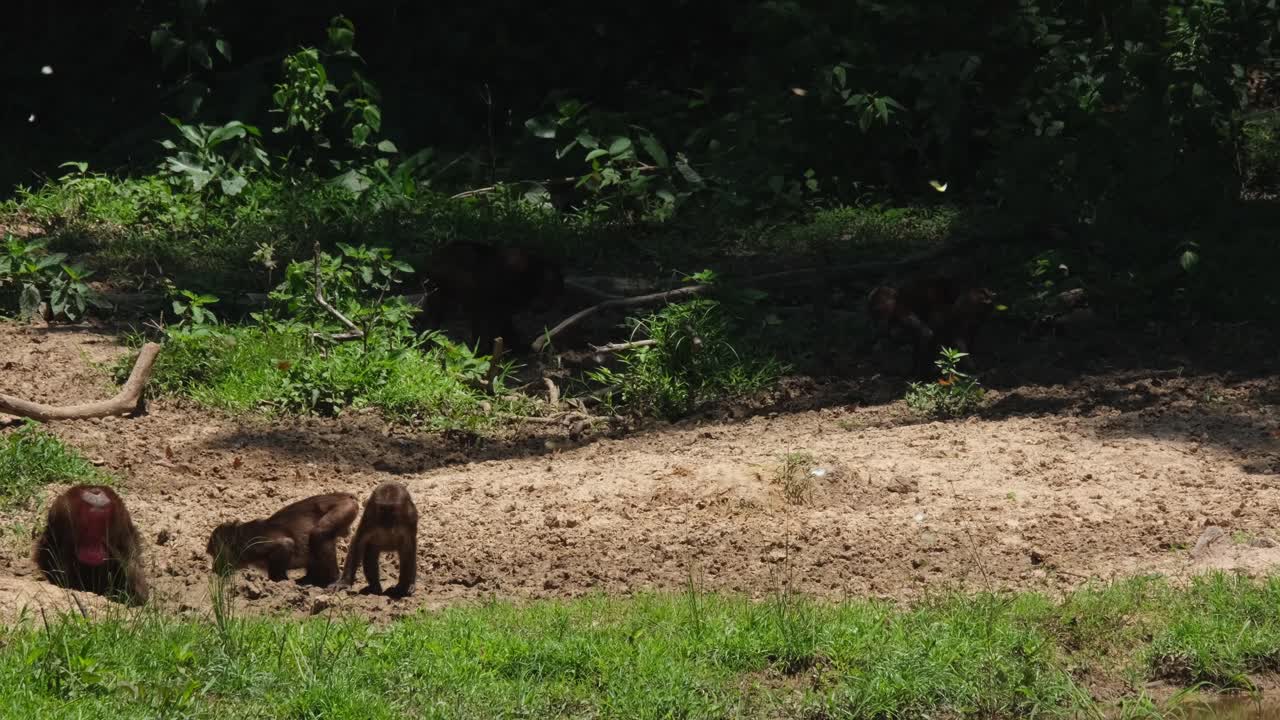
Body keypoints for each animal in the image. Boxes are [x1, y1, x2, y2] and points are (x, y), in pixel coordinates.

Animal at [206, 493, 358, 587]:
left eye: (214, 554)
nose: (214, 566)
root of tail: (344, 494)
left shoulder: (252, 546)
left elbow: (285, 544)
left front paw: (278, 582)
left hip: (344, 506)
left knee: (319, 533)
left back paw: (333, 581)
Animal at [418, 241, 564, 354]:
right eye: (552, 288)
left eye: (557, 290)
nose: (545, 306)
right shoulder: (497, 306)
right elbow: (500, 326)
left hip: (438, 295)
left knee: (430, 319)